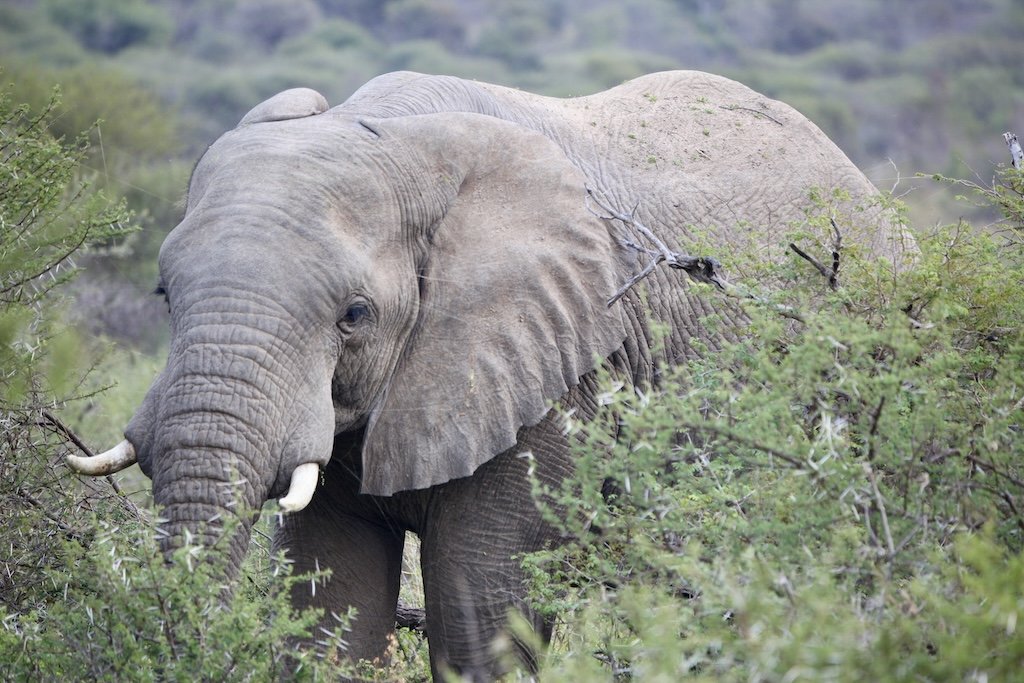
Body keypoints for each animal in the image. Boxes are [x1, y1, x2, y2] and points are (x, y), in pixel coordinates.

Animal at [68, 70, 913, 680]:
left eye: (354, 315)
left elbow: (481, 613)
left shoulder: (557, 373)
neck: (393, 136)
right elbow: (330, 607)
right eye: (163, 294)